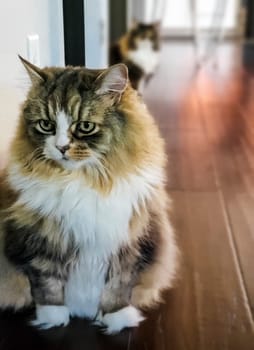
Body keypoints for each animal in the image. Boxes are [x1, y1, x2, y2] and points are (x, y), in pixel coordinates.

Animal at [0, 56, 178, 334]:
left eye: (84, 126)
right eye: (46, 125)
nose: (61, 147)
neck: (82, 180)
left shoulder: (129, 242)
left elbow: (118, 285)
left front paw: (116, 318)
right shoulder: (39, 239)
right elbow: (47, 282)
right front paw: (54, 318)